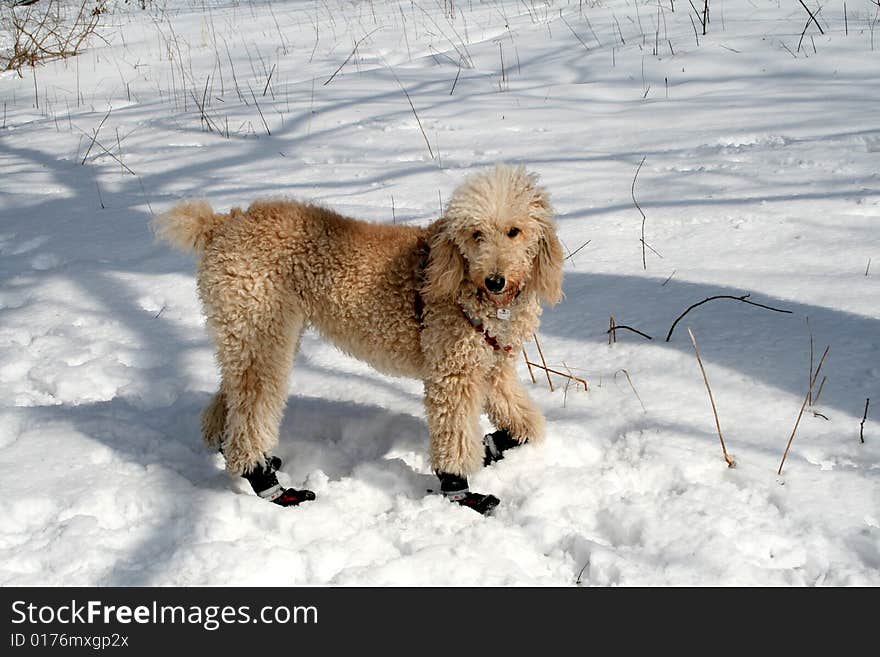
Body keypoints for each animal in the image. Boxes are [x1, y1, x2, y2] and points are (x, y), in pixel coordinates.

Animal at [153, 165, 564, 512]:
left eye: (514, 231)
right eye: (476, 234)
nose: (495, 280)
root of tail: (223, 222)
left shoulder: (494, 370)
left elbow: (526, 427)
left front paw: (492, 445)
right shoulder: (452, 374)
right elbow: (455, 438)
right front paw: (459, 490)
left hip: (252, 335)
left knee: (229, 403)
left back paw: (243, 454)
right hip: (261, 333)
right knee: (251, 416)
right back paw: (270, 484)